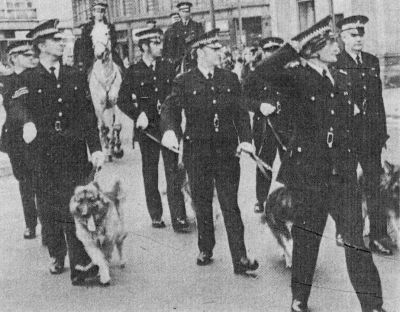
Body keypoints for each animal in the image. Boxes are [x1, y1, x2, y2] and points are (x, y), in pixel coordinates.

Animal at [88, 23, 123, 161]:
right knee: (101, 126)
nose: (99, 54)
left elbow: (116, 125)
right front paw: (107, 149)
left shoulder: (116, 102)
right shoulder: (99, 105)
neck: (106, 76)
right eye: (92, 35)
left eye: (106, 33)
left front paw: (117, 149)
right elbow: (103, 127)